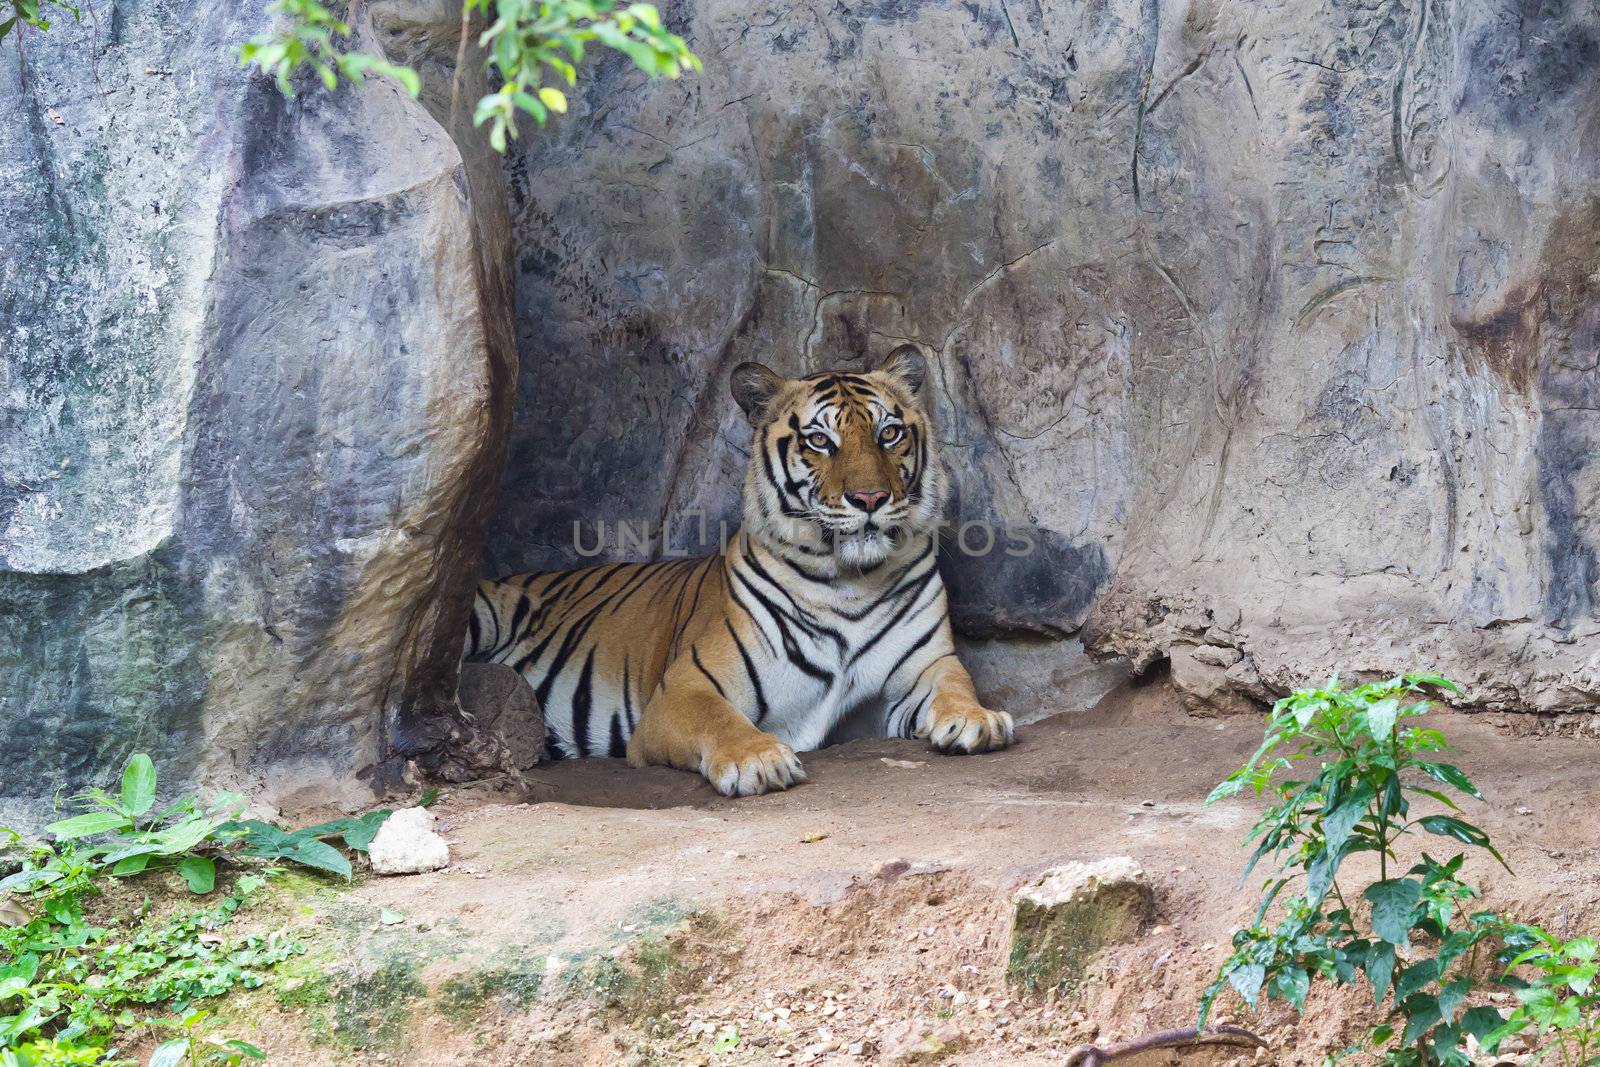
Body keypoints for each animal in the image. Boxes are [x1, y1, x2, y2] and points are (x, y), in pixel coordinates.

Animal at [464, 347, 1011, 796]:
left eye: (889, 433)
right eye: (820, 440)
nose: (871, 498)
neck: (848, 583)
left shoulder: (923, 669)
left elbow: (956, 685)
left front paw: (978, 719)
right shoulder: (685, 688)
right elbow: (720, 721)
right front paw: (759, 760)